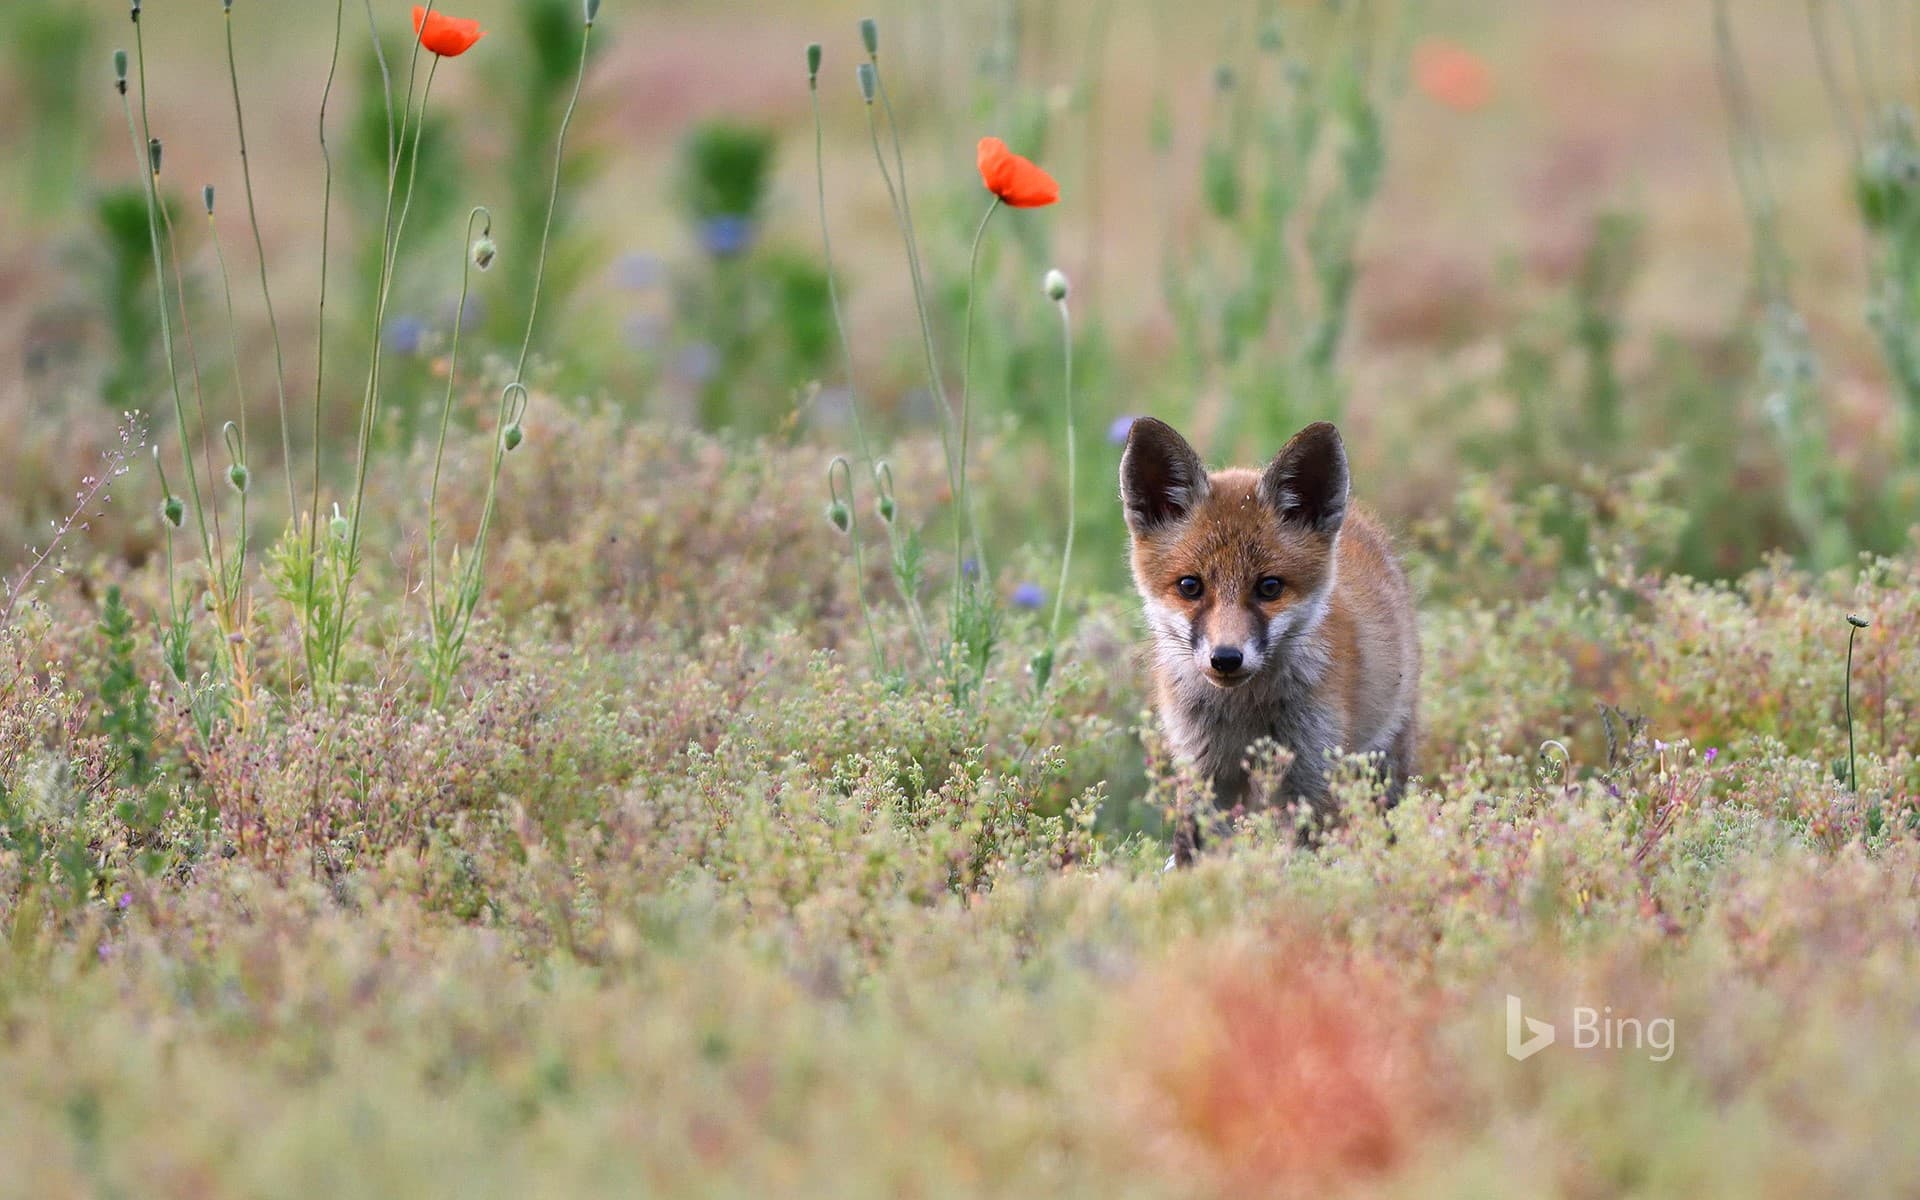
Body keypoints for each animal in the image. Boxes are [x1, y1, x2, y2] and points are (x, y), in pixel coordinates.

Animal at [1119, 417, 1419, 848]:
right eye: (1190, 586)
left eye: (1270, 587)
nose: (1226, 658)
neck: (1244, 712)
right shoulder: (1203, 771)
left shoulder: (1312, 773)